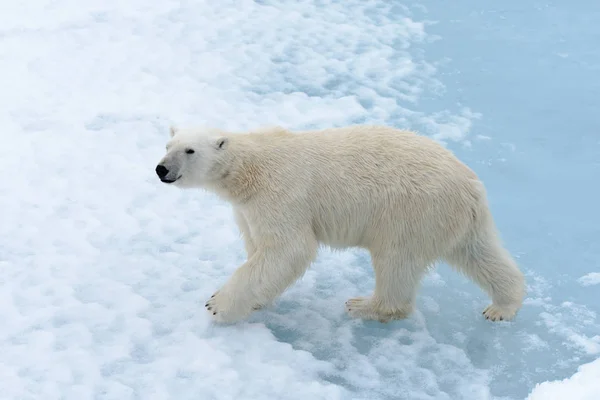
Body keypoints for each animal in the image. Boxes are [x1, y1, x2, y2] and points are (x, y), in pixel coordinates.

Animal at [156, 125, 524, 324]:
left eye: (190, 150)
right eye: (167, 144)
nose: (162, 169)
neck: (249, 169)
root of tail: (472, 185)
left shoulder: (281, 194)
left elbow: (288, 250)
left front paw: (217, 304)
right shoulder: (247, 208)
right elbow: (260, 249)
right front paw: (256, 300)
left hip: (411, 212)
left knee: (395, 262)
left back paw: (364, 305)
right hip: (456, 219)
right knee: (479, 253)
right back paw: (502, 306)